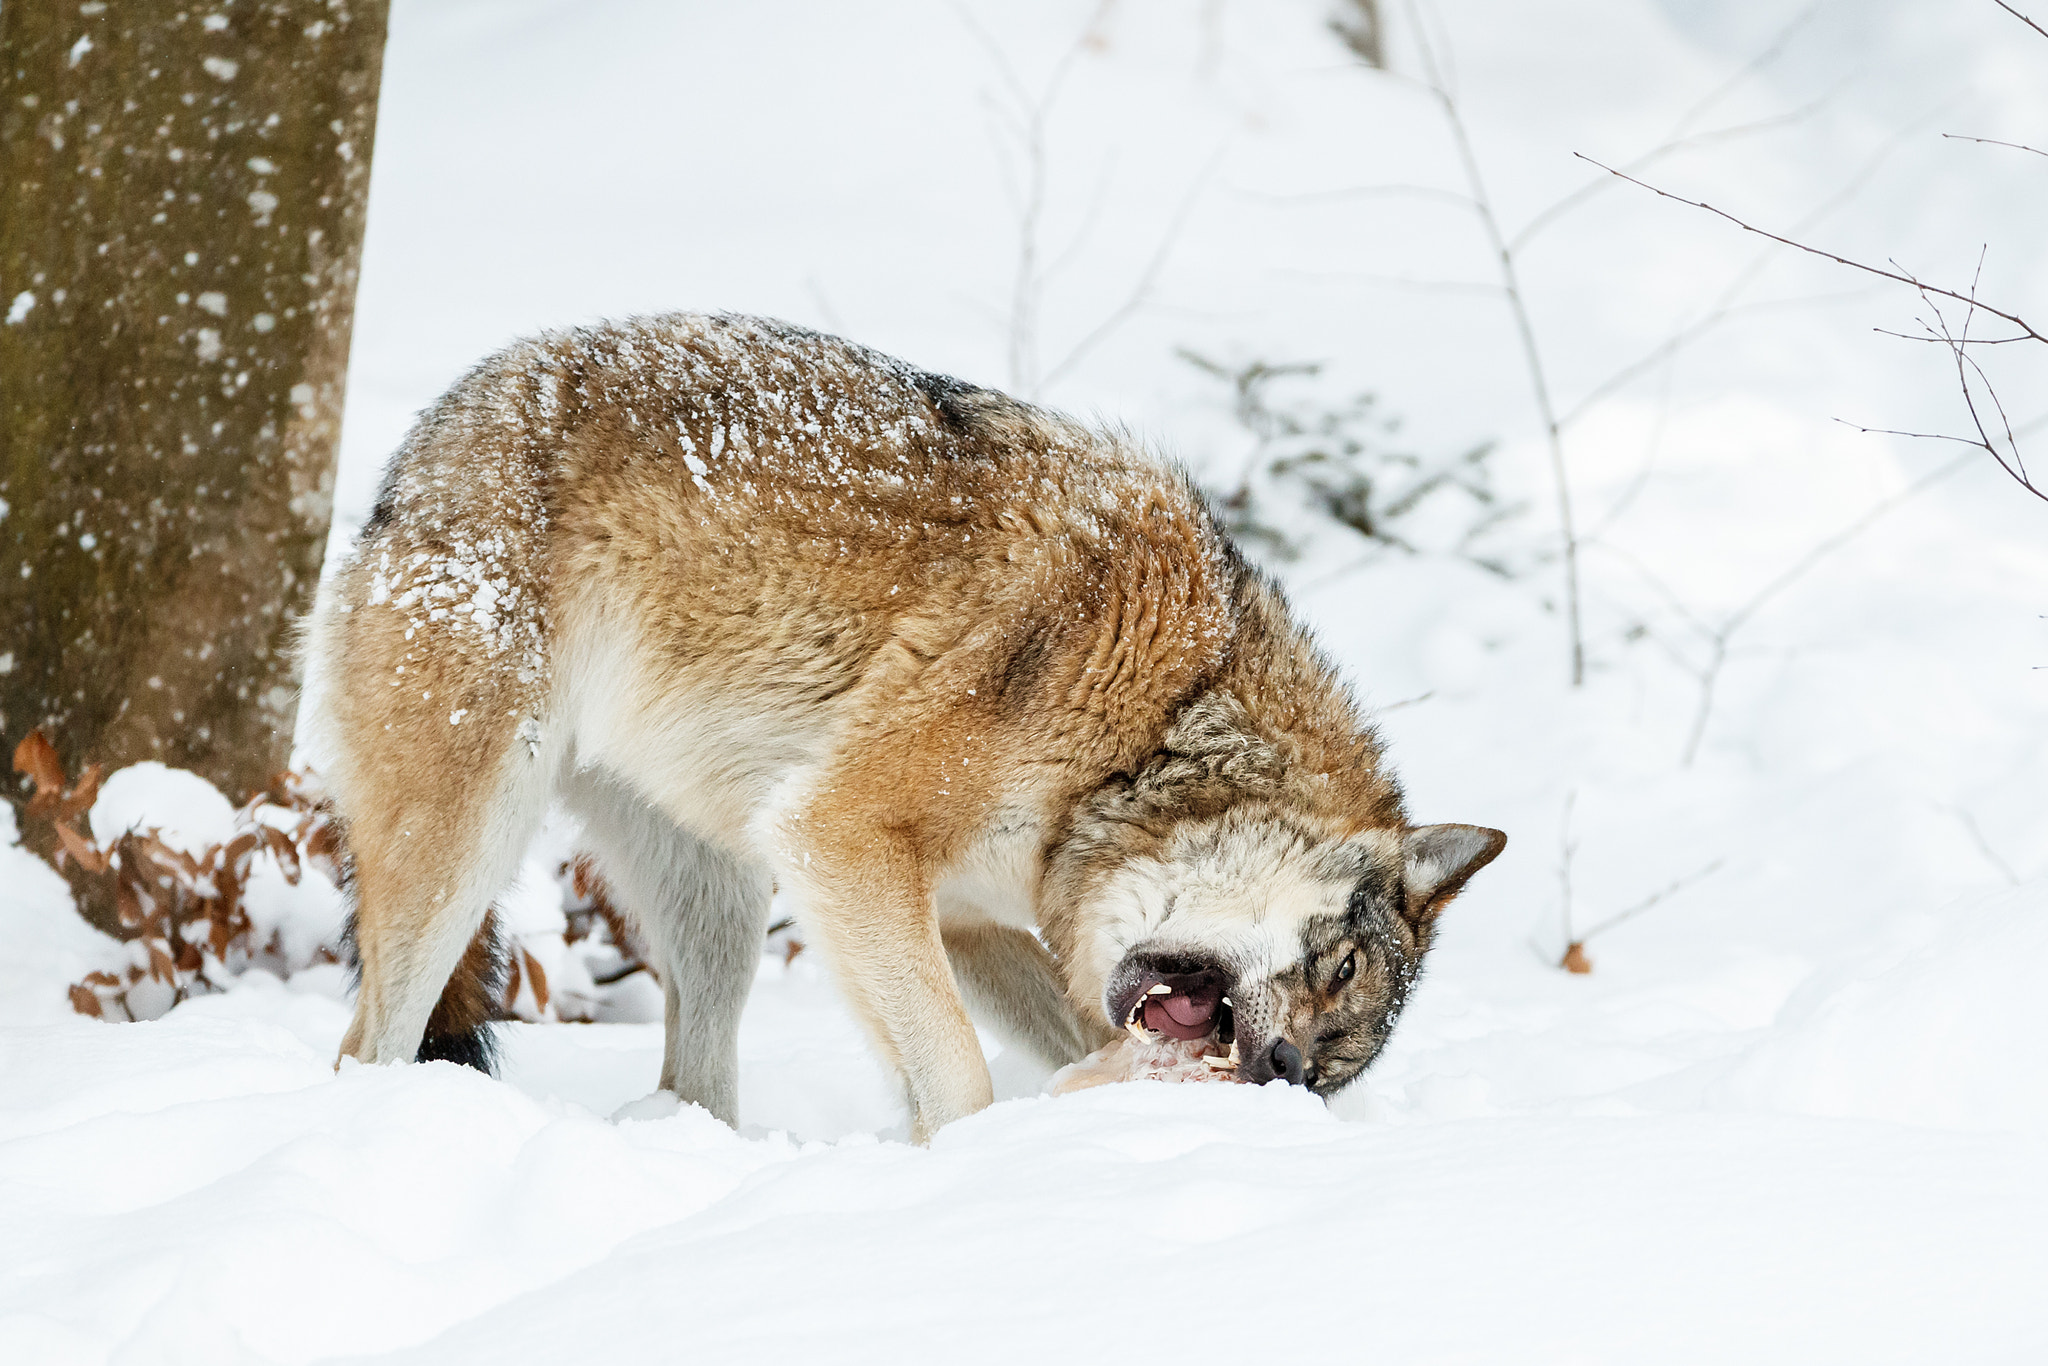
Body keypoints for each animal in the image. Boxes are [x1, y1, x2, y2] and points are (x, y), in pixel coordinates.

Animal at [301, 313, 1505, 1140]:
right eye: (1338, 967)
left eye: (1334, 1061)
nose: (1282, 1072)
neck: (1156, 728)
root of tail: (432, 436)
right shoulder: (845, 836)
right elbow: (960, 1073)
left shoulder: (961, 913)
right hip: (473, 841)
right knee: (366, 1046)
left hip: (720, 901)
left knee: (692, 1075)